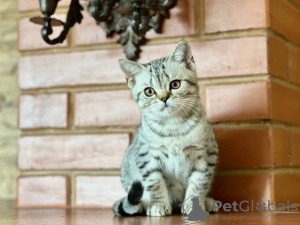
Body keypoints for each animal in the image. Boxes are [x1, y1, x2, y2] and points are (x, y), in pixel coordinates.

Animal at [112, 39, 218, 216]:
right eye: (149, 91)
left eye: (175, 84)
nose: (163, 98)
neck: (172, 126)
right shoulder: (146, 157)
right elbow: (154, 183)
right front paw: (159, 205)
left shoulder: (206, 155)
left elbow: (198, 183)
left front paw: (193, 205)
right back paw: (142, 205)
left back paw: (208, 202)